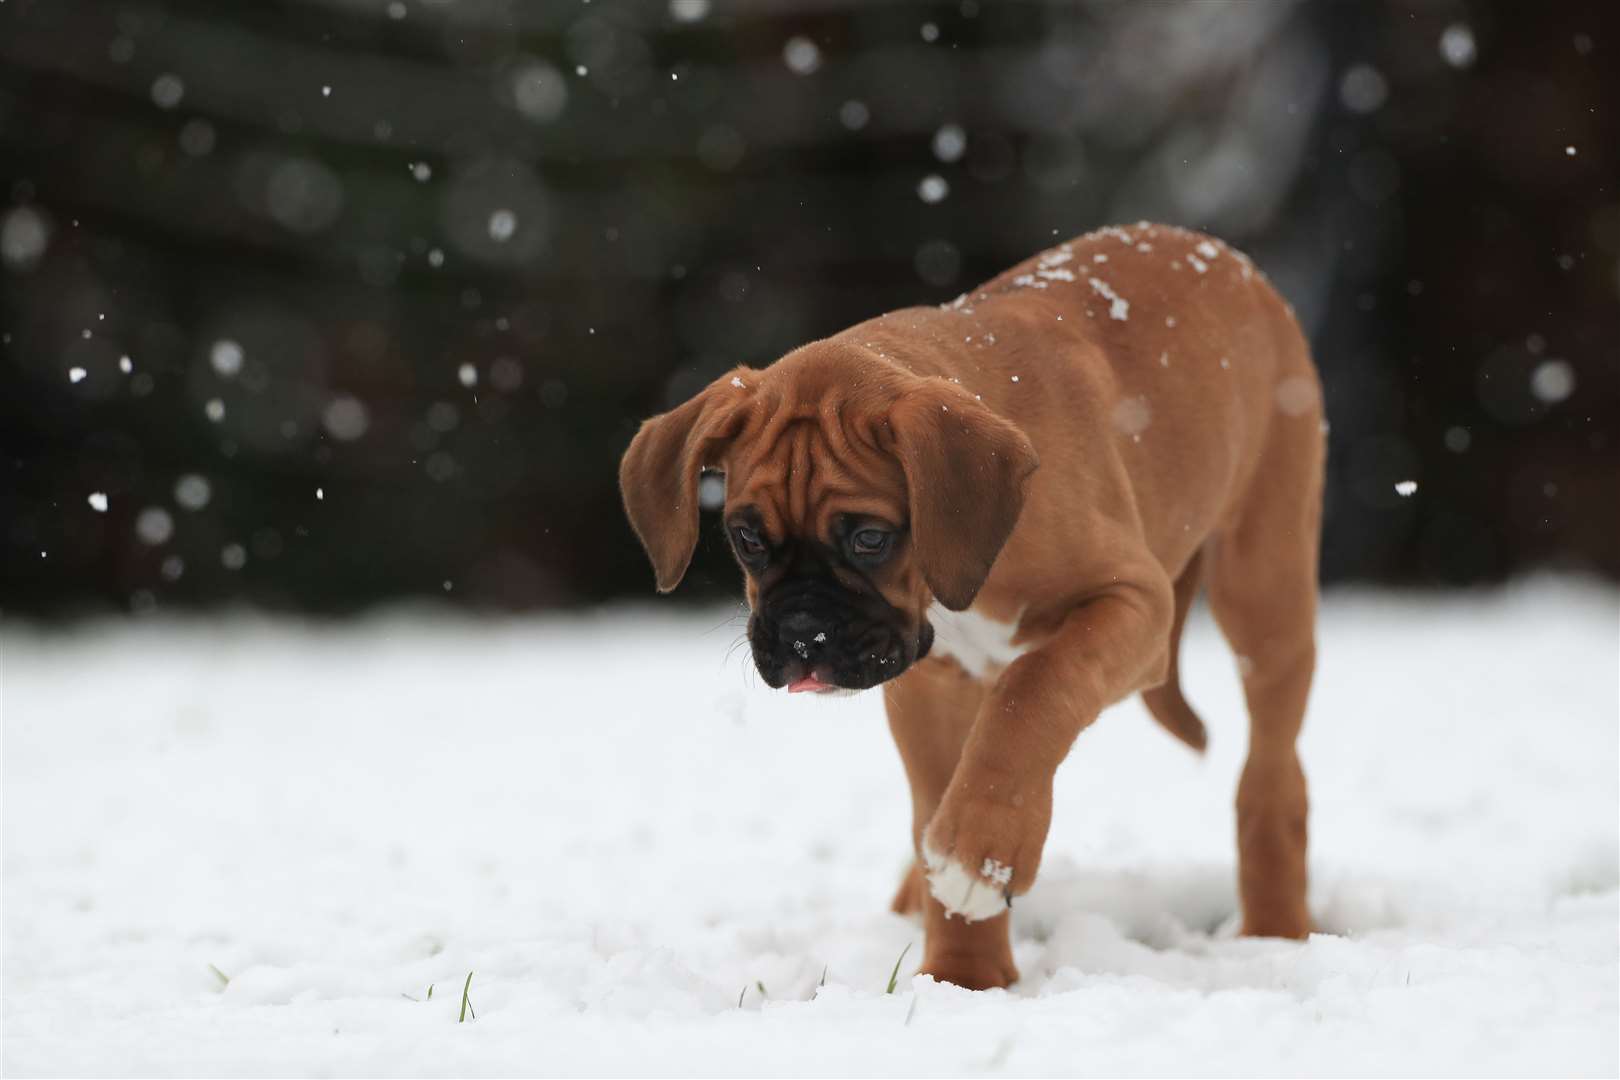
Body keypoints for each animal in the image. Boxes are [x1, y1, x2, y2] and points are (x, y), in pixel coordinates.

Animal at [612, 223, 1321, 990]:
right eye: (746, 538)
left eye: (869, 538)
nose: (803, 633)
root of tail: (1220, 254)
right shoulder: (931, 685)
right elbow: (942, 790)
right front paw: (965, 976)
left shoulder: (1132, 604)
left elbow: (1033, 693)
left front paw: (982, 857)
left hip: (1266, 591)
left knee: (1272, 778)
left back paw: (1275, 929)